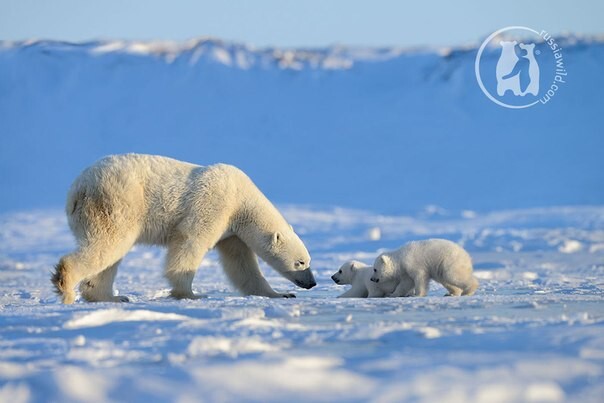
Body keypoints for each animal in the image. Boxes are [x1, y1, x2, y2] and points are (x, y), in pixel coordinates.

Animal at [51, 153, 316, 304]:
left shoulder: (231, 232)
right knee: (108, 243)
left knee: (110, 256)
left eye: (308, 260)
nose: (312, 283)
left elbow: (241, 265)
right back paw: (66, 286)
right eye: (300, 262)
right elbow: (191, 241)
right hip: (116, 203)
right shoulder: (215, 204)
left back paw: (112, 297)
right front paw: (190, 294)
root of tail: (77, 188)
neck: (241, 199)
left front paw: (280, 294)